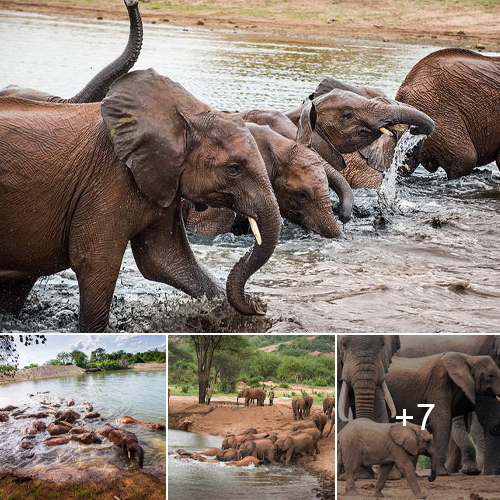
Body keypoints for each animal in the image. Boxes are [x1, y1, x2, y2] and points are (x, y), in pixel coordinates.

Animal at [0, 69, 282, 332]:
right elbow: (95, 262)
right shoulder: (108, 180)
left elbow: (165, 260)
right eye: (234, 169)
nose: (258, 306)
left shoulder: (162, 178)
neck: (185, 115)